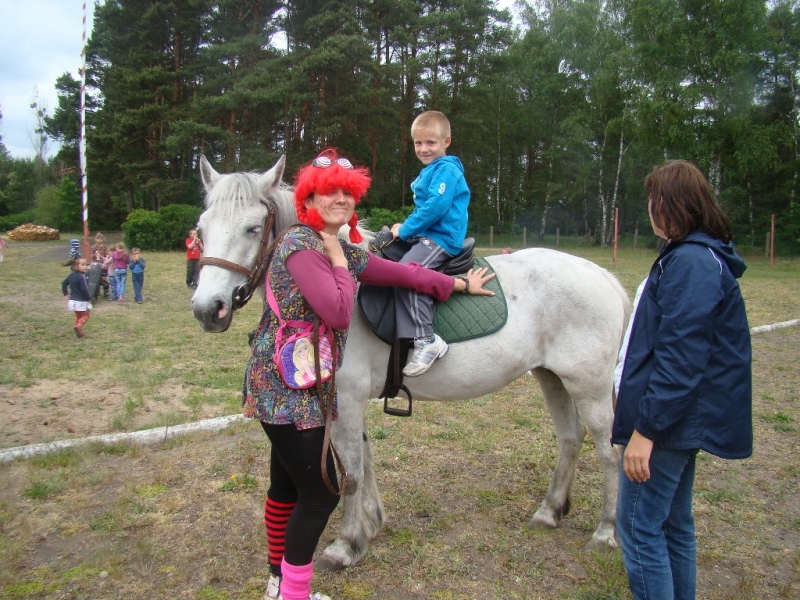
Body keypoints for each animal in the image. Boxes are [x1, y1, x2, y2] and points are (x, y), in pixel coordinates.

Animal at [192, 156, 632, 572]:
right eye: (202, 228)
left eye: (252, 228)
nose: (207, 309)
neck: (336, 285)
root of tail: (602, 275)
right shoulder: (347, 403)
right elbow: (365, 461)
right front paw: (371, 524)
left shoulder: (346, 400)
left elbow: (351, 474)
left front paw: (345, 545)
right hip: (551, 377)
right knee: (570, 438)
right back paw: (549, 511)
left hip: (589, 387)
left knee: (610, 452)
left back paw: (605, 533)